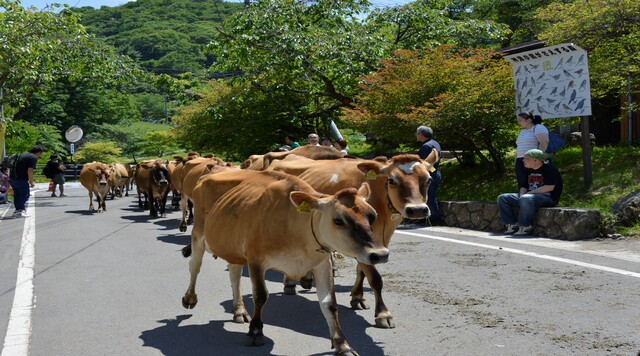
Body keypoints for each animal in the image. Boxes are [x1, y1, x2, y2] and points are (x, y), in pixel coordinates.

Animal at [182, 170, 388, 354]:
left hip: (233, 248)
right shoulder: (256, 260)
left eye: (373, 216)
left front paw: (342, 345)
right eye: (338, 220)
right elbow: (260, 296)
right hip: (198, 234)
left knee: (234, 275)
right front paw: (255, 332)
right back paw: (189, 298)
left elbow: (329, 304)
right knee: (195, 267)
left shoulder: (322, 264)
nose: (380, 254)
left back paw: (239, 310)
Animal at [270, 150, 440, 328]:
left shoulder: (372, 245)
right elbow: (375, 278)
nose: (417, 210)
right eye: (392, 180)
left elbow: (362, 271)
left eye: (428, 179)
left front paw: (357, 297)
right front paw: (383, 313)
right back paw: (290, 282)